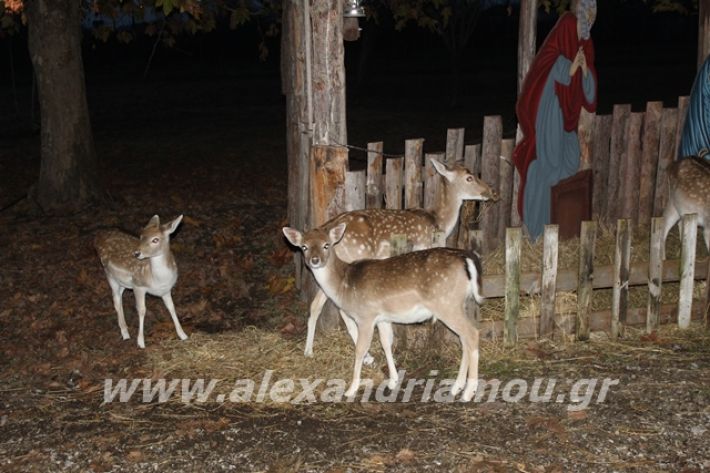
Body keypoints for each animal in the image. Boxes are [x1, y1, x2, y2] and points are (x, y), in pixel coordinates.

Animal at [95, 214, 189, 346]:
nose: (136, 253)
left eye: (155, 240)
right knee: (116, 299)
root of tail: (97, 237)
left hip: (123, 282)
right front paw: (140, 342)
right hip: (110, 275)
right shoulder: (138, 285)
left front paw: (183, 334)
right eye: (141, 236)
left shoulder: (166, 290)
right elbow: (141, 310)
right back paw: (125, 334)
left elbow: (171, 307)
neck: (157, 280)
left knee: (119, 297)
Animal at [284, 223, 484, 400]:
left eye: (326, 245)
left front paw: (351, 389)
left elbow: (360, 349)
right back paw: (457, 387)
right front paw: (393, 380)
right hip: (459, 304)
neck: (343, 284)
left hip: (446, 304)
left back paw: (468, 392)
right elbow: (386, 342)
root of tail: (466, 260)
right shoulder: (382, 318)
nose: (314, 261)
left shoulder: (366, 316)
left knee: (472, 334)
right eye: (304, 246)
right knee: (464, 339)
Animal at [304, 159, 498, 362]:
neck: (439, 223)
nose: (492, 192)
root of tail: (326, 228)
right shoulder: (422, 246)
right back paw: (366, 356)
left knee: (316, 304)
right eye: (469, 177)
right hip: (352, 255)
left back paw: (308, 351)